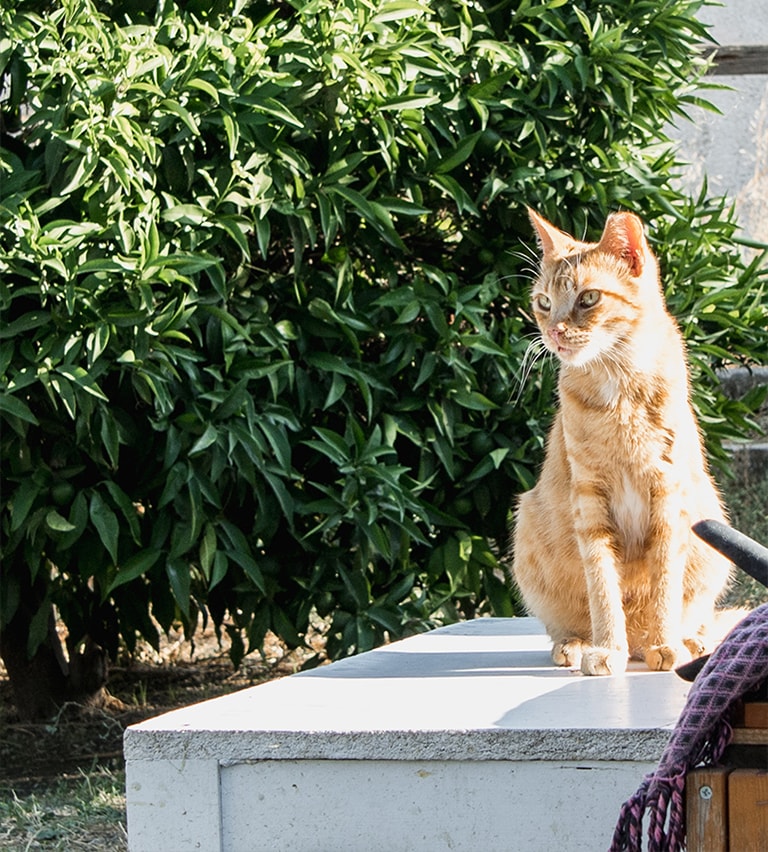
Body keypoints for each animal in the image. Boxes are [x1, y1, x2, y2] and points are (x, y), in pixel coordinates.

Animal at [510, 206, 732, 672]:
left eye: (588, 298)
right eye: (544, 302)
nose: (554, 332)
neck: (619, 386)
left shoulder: (668, 495)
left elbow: (665, 583)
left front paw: (666, 644)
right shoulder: (589, 498)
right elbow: (602, 586)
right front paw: (607, 648)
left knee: (694, 616)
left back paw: (686, 641)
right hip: (529, 525)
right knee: (565, 622)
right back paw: (578, 645)